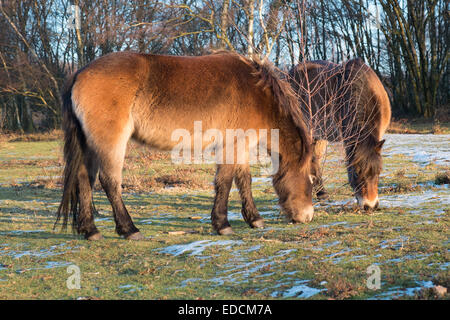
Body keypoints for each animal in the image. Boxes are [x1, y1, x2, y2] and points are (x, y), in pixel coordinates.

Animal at [55, 50, 312, 240]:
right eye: (310, 182)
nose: (308, 216)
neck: (257, 93)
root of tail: (79, 72)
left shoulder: (239, 147)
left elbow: (243, 181)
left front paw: (254, 219)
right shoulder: (232, 146)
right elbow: (225, 182)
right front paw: (222, 224)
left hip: (90, 145)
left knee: (84, 179)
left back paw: (90, 230)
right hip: (110, 143)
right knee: (109, 182)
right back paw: (129, 229)